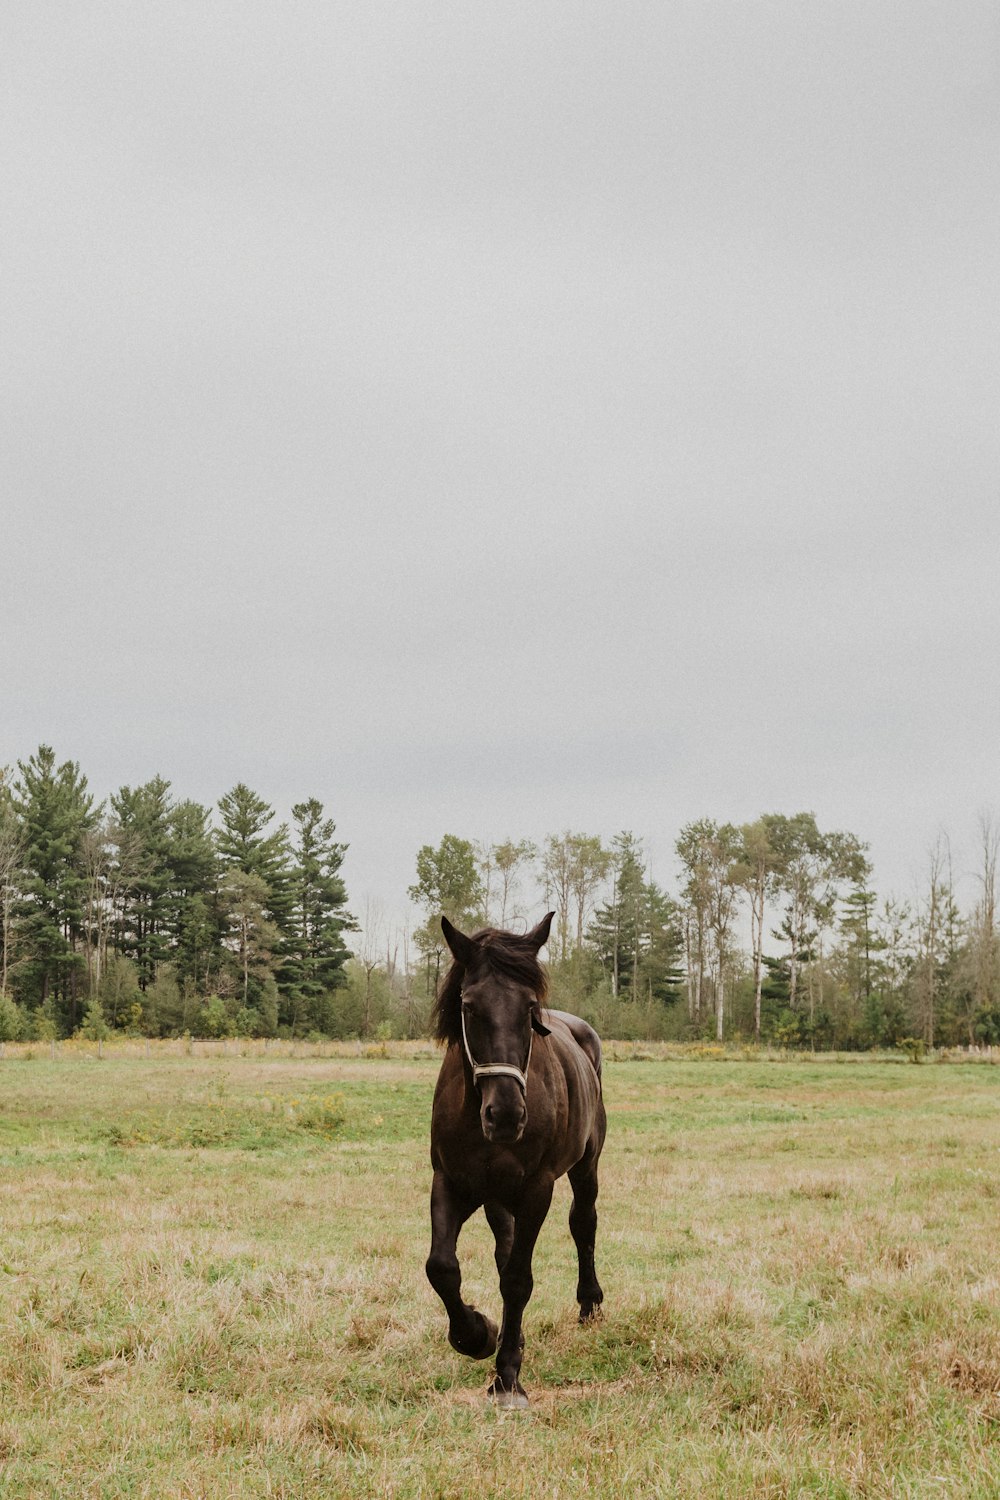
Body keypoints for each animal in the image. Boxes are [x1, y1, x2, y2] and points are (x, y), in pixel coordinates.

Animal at [425, 912, 605, 1404]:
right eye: (469, 1006)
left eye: (528, 1008)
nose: (505, 1115)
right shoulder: (450, 1182)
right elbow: (442, 1267)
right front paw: (477, 1334)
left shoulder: (536, 1189)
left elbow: (518, 1279)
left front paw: (507, 1377)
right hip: (496, 1197)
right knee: (503, 1249)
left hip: (586, 1165)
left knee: (583, 1223)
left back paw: (589, 1303)